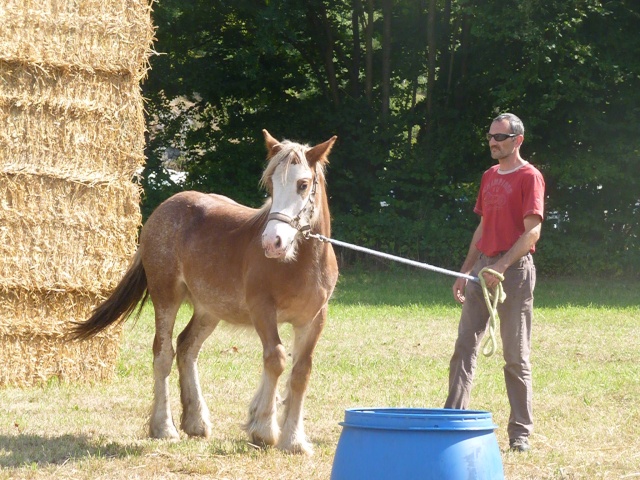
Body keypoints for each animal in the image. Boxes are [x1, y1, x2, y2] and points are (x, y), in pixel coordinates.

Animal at [69, 129, 340, 456]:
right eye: (271, 185)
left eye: (303, 184)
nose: (272, 242)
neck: (298, 262)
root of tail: (166, 206)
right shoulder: (262, 311)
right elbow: (275, 359)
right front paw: (263, 429)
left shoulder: (314, 320)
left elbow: (301, 373)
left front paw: (294, 440)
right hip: (166, 296)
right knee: (164, 353)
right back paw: (164, 427)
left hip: (209, 310)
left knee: (187, 347)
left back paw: (195, 422)